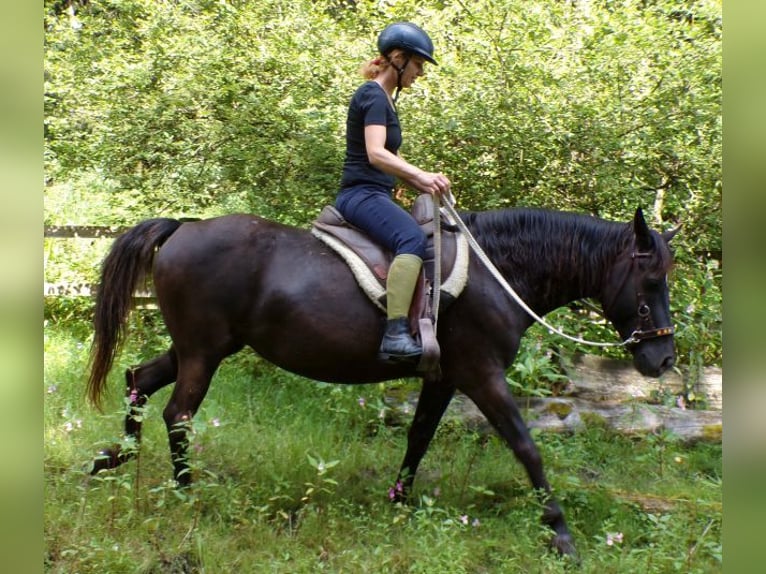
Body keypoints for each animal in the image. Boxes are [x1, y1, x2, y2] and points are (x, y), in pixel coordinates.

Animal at [85, 204, 680, 560]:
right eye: (651, 280)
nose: (663, 358)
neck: (498, 273)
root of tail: (184, 226)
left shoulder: (445, 378)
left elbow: (419, 436)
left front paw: (398, 502)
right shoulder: (482, 375)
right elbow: (526, 447)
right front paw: (559, 533)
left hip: (197, 348)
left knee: (139, 378)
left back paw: (114, 461)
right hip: (204, 353)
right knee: (178, 414)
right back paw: (185, 494)